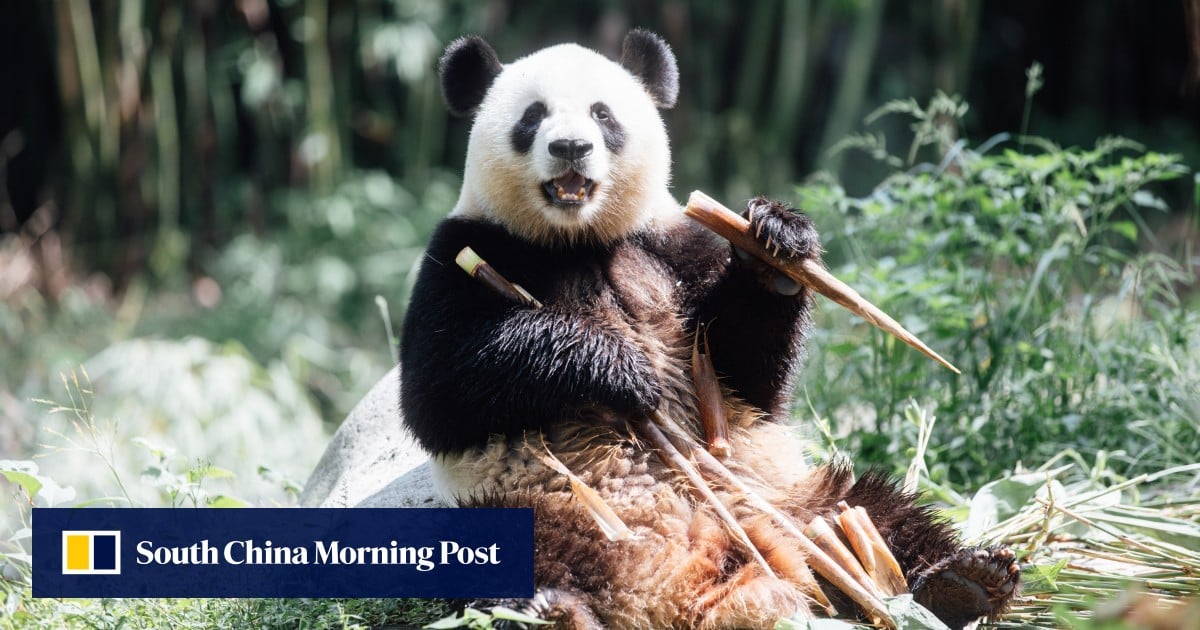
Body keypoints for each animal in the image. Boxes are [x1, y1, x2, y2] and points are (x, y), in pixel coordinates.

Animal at [398, 30, 1017, 628]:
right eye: (532, 116)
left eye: (603, 114)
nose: (570, 146)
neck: (581, 240)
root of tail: (679, 583)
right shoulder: (464, 251)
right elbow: (442, 388)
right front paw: (615, 371)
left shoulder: (677, 247)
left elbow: (745, 371)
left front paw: (777, 241)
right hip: (545, 502)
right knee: (498, 549)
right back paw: (545, 609)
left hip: (796, 499)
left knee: (881, 510)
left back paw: (963, 581)